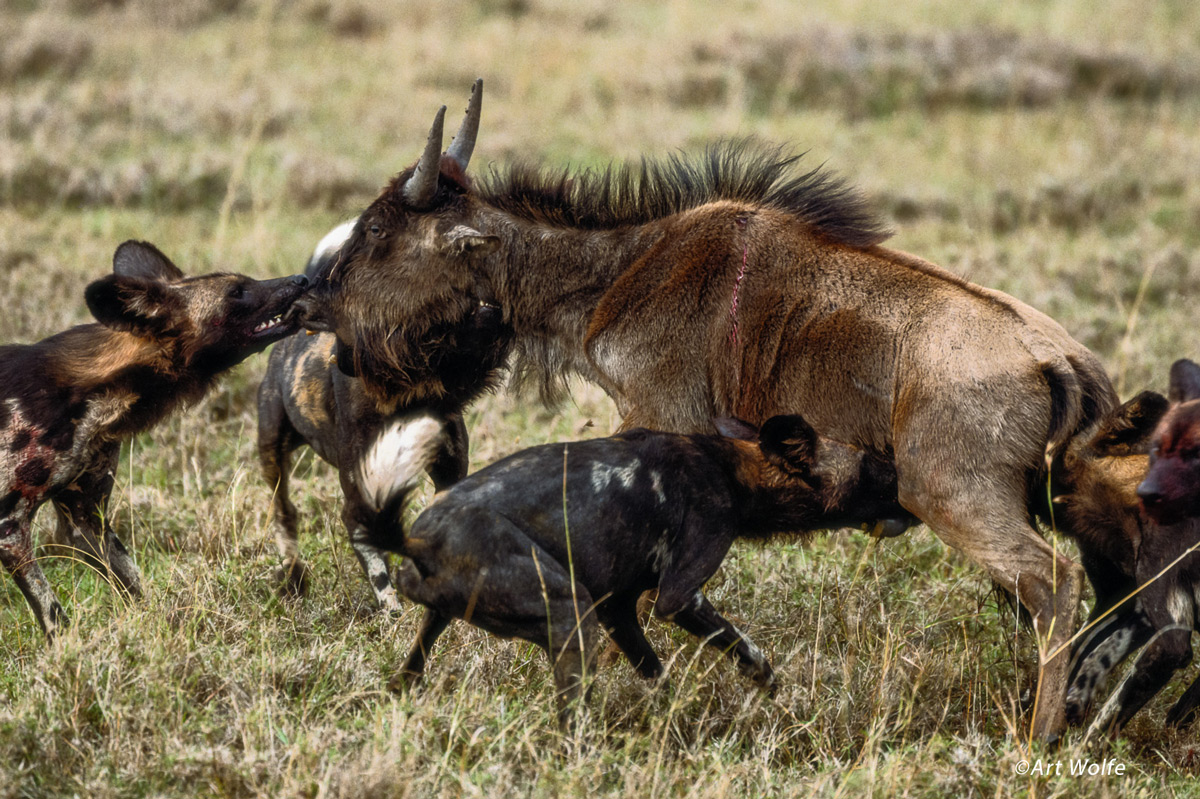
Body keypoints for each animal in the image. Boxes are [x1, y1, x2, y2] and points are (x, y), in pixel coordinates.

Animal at [0, 239, 309, 638]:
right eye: (236, 292)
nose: (301, 279)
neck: (92, 397)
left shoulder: (86, 520)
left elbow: (135, 586)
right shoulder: (9, 529)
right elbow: (54, 616)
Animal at [258, 211, 511, 604]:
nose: (498, 310)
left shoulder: (449, 472)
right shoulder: (358, 502)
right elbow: (376, 567)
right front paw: (393, 607)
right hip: (272, 453)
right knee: (284, 513)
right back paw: (293, 578)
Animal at [350, 410, 912, 719]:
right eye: (873, 466)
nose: (910, 490)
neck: (735, 471)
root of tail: (417, 541)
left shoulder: (618, 609)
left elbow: (656, 674)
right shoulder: (678, 596)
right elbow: (748, 650)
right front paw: (772, 692)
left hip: (439, 623)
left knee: (409, 670)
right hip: (570, 615)